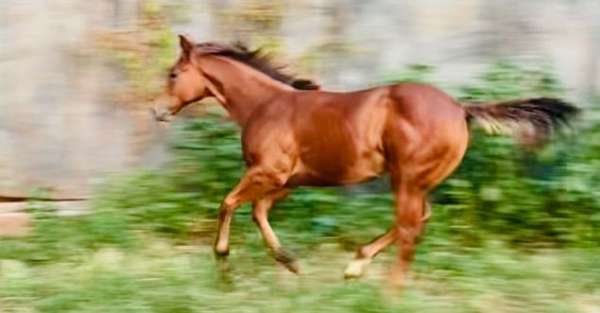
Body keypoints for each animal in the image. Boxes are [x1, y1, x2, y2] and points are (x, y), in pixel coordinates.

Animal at [152, 34, 580, 286]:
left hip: (406, 177)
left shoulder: (269, 173)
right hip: (418, 181)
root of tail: (460, 108)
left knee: (409, 226)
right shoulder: (287, 182)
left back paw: (386, 288)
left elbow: (228, 203)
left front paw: (223, 258)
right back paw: (357, 265)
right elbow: (258, 211)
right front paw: (290, 261)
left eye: (173, 74)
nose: (156, 110)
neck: (267, 105)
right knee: (418, 220)